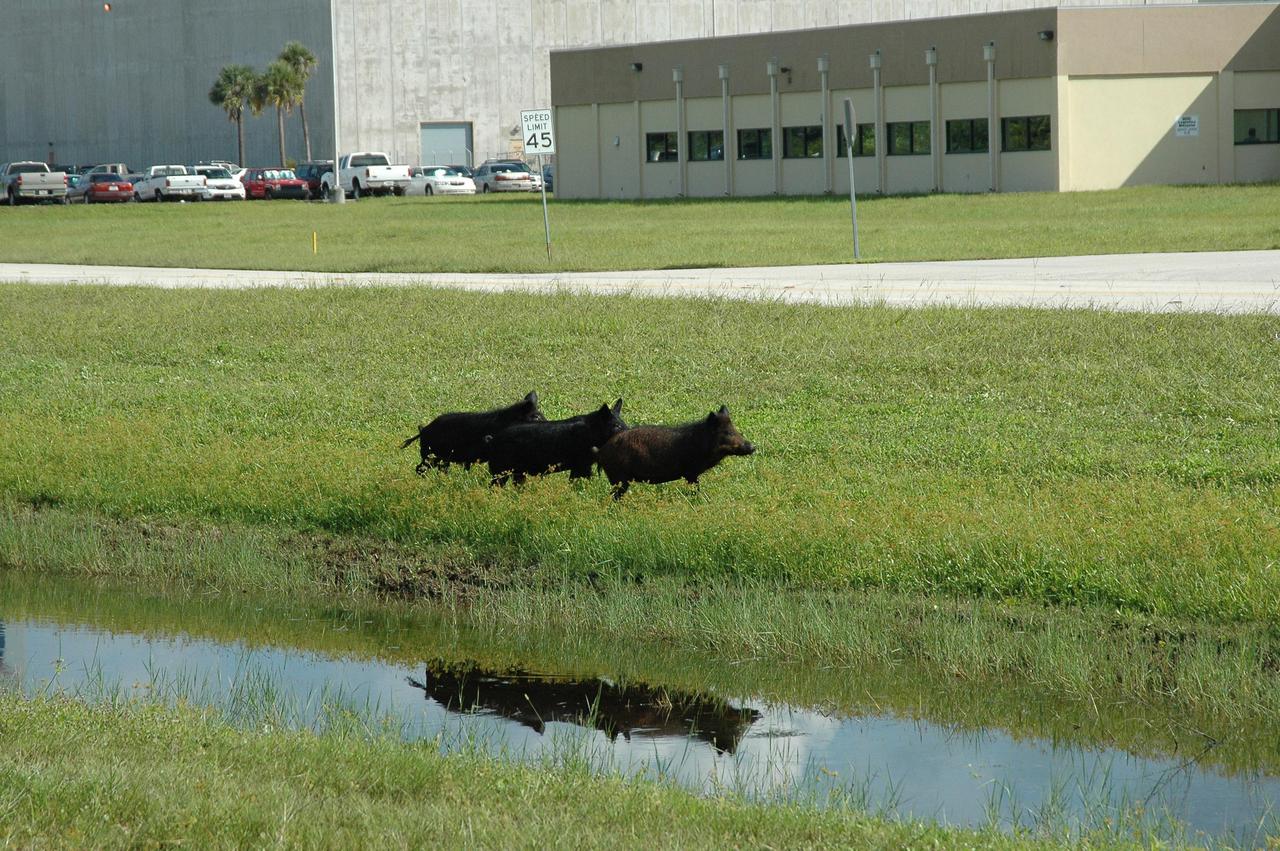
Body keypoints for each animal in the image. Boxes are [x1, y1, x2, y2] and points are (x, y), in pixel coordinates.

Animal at [486, 399, 627, 486]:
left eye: (623, 423)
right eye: (616, 426)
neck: (591, 433)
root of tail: (491, 440)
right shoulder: (582, 465)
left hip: (518, 473)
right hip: (501, 472)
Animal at [595, 405, 755, 500]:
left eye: (735, 429)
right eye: (727, 433)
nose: (753, 447)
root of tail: (600, 452)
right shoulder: (690, 472)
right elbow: (696, 489)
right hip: (619, 478)